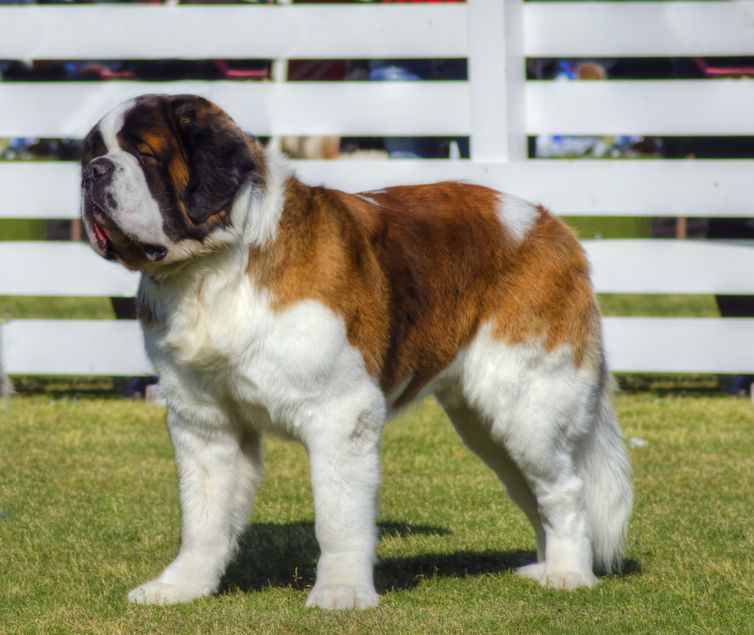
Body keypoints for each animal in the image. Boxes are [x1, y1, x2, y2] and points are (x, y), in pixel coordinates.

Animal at [81, 94, 628, 612]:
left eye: (145, 153)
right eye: (93, 152)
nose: (94, 171)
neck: (213, 270)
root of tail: (550, 225)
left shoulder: (340, 412)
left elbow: (338, 515)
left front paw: (341, 592)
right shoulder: (204, 421)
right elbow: (203, 516)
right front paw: (181, 586)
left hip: (526, 402)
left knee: (565, 488)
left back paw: (569, 574)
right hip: (485, 422)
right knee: (531, 490)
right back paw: (545, 567)